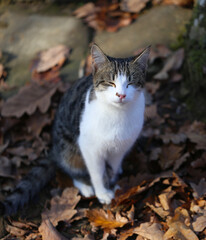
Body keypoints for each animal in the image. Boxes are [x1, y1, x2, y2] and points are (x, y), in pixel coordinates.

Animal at [0, 43, 150, 216]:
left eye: (130, 83)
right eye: (110, 83)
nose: (121, 95)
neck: (118, 114)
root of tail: (55, 149)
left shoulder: (121, 147)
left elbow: (113, 165)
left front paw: (112, 181)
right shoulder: (89, 147)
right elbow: (97, 173)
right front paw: (103, 192)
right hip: (68, 147)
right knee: (72, 168)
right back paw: (85, 186)